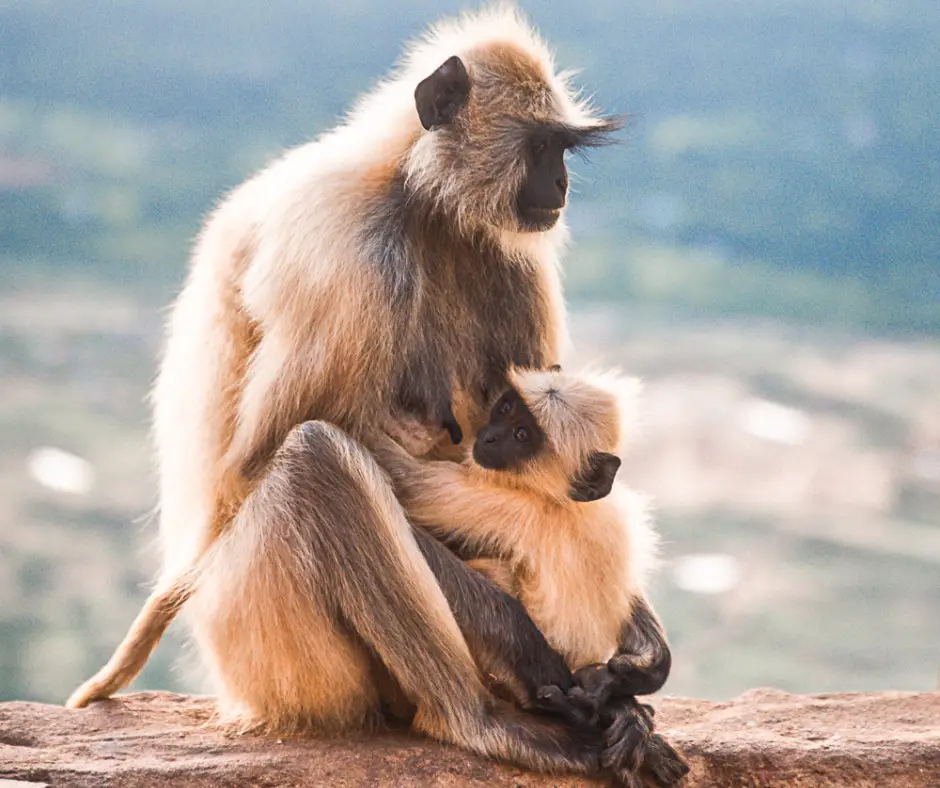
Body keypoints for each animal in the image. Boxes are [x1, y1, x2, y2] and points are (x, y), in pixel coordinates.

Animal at [66, 6, 656, 780]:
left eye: (562, 150)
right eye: (540, 147)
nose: (558, 186)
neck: (415, 194)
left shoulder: (510, 257)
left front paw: (639, 655)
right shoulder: (349, 253)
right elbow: (255, 465)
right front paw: (539, 655)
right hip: (261, 637)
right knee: (313, 459)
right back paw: (480, 722)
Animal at [374, 366, 692, 784]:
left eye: (522, 436)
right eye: (506, 408)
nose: (490, 437)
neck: (563, 501)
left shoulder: (503, 505)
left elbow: (394, 470)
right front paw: (631, 680)